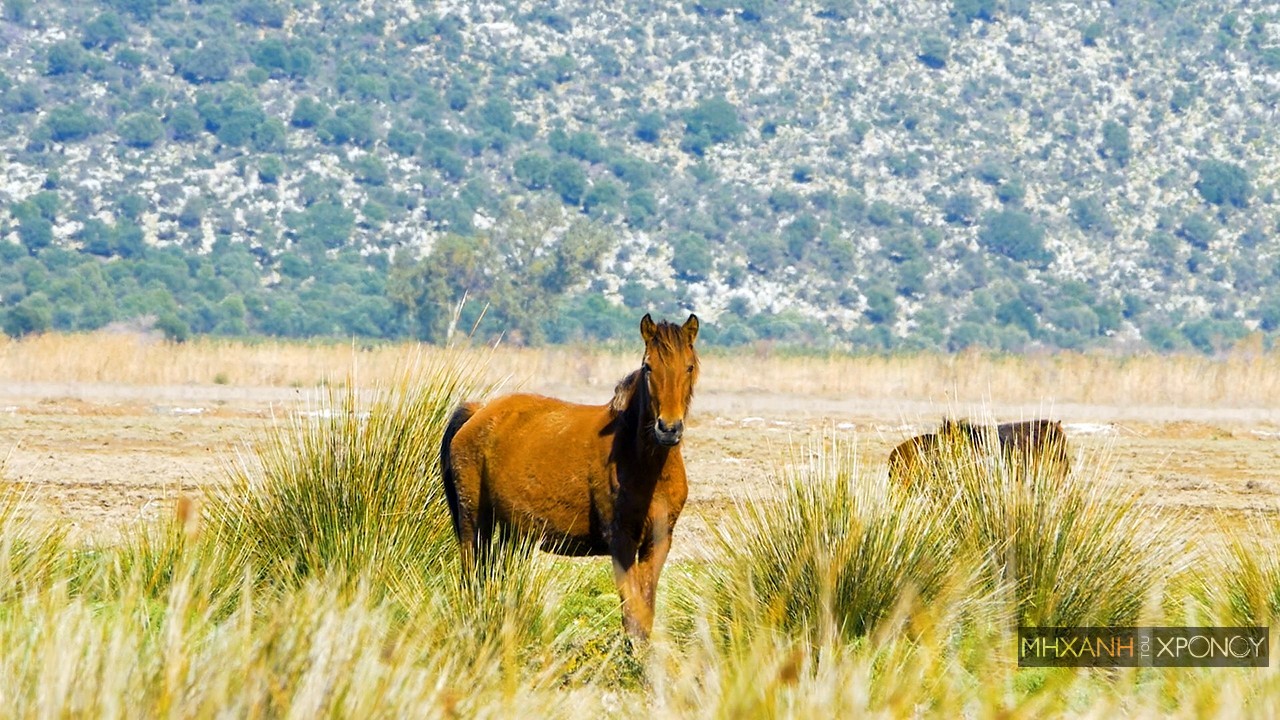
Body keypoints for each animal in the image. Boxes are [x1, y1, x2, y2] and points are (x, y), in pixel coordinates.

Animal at [440, 311, 701, 635]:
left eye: (689, 366)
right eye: (648, 366)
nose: (668, 428)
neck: (644, 465)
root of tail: (478, 412)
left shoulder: (658, 542)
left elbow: (644, 616)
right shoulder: (621, 542)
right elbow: (632, 616)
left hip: (514, 533)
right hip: (474, 524)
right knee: (472, 575)